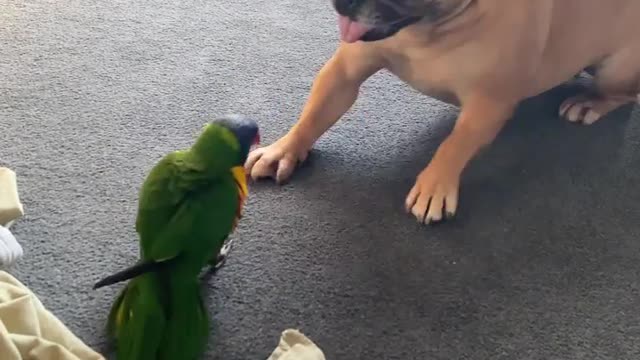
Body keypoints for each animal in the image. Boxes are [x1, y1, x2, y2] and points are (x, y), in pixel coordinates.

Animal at [245, 0, 640, 224]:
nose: (343, 2)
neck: (428, 29)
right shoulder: (344, 72)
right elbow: (314, 113)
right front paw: (285, 149)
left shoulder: (487, 105)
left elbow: (454, 145)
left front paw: (435, 184)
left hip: (617, 69)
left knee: (624, 94)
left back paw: (590, 101)